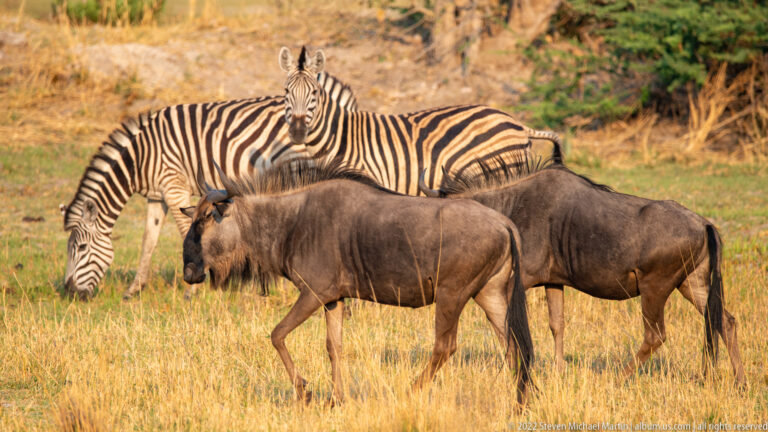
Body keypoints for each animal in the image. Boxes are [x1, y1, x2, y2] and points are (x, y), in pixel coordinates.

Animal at [60, 72, 358, 300]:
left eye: (81, 248)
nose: (70, 291)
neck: (140, 158)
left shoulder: (173, 185)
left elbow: (185, 231)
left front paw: (191, 290)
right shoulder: (157, 196)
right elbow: (148, 240)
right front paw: (134, 289)